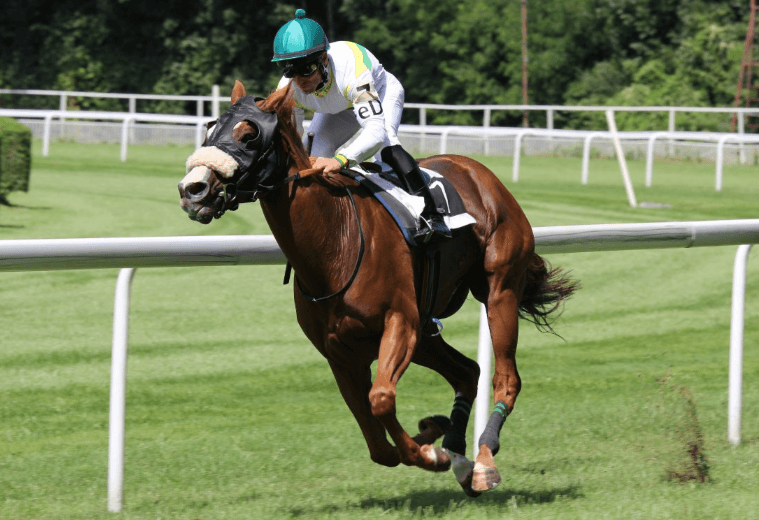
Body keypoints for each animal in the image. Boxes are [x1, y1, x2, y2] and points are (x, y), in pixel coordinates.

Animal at [178, 80, 577, 496]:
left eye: (249, 134)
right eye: (210, 129)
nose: (192, 189)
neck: (335, 243)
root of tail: (480, 172)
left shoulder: (399, 323)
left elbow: (381, 399)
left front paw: (431, 452)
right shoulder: (340, 352)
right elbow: (376, 441)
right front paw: (433, 436)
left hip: (499, 290)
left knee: (506, 377)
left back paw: (482, 461)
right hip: (426, 332)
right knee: (468, 371)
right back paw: (458, 454)